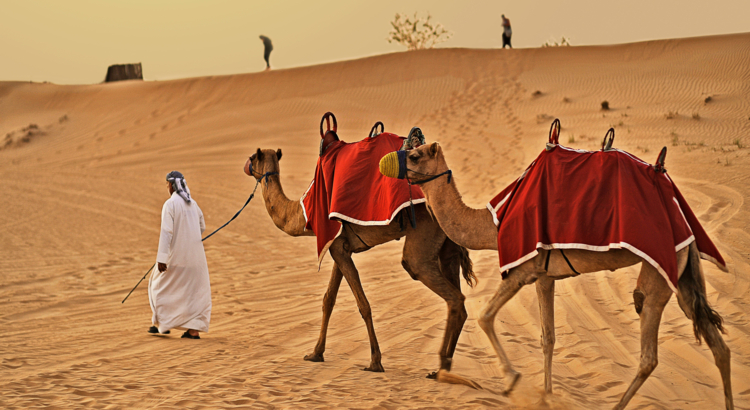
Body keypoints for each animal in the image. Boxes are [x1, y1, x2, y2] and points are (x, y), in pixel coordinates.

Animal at [244, 147, 475, 376]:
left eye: (252, 157)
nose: (246, 165)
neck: (301, 213)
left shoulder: (337, 248)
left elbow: (363, 304)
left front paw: (375, 362)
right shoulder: (339, 246)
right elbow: (328, 299)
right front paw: (315, 353)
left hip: (424, 236)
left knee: (447, 292)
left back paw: (441, 367)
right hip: (448, 243)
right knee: (459, 301)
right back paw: (443, 369)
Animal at [382, 137, 733, 409]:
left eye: (415, 154)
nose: (386, 165)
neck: (492, 225)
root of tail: (682, 217)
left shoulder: (522, 270)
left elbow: (485, 316)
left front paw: (512, 381)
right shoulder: (544, 275)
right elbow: (547, 337)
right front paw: (546, 395)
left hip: (660, 268)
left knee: (649, 350)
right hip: (684, 272)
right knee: (719, 346)